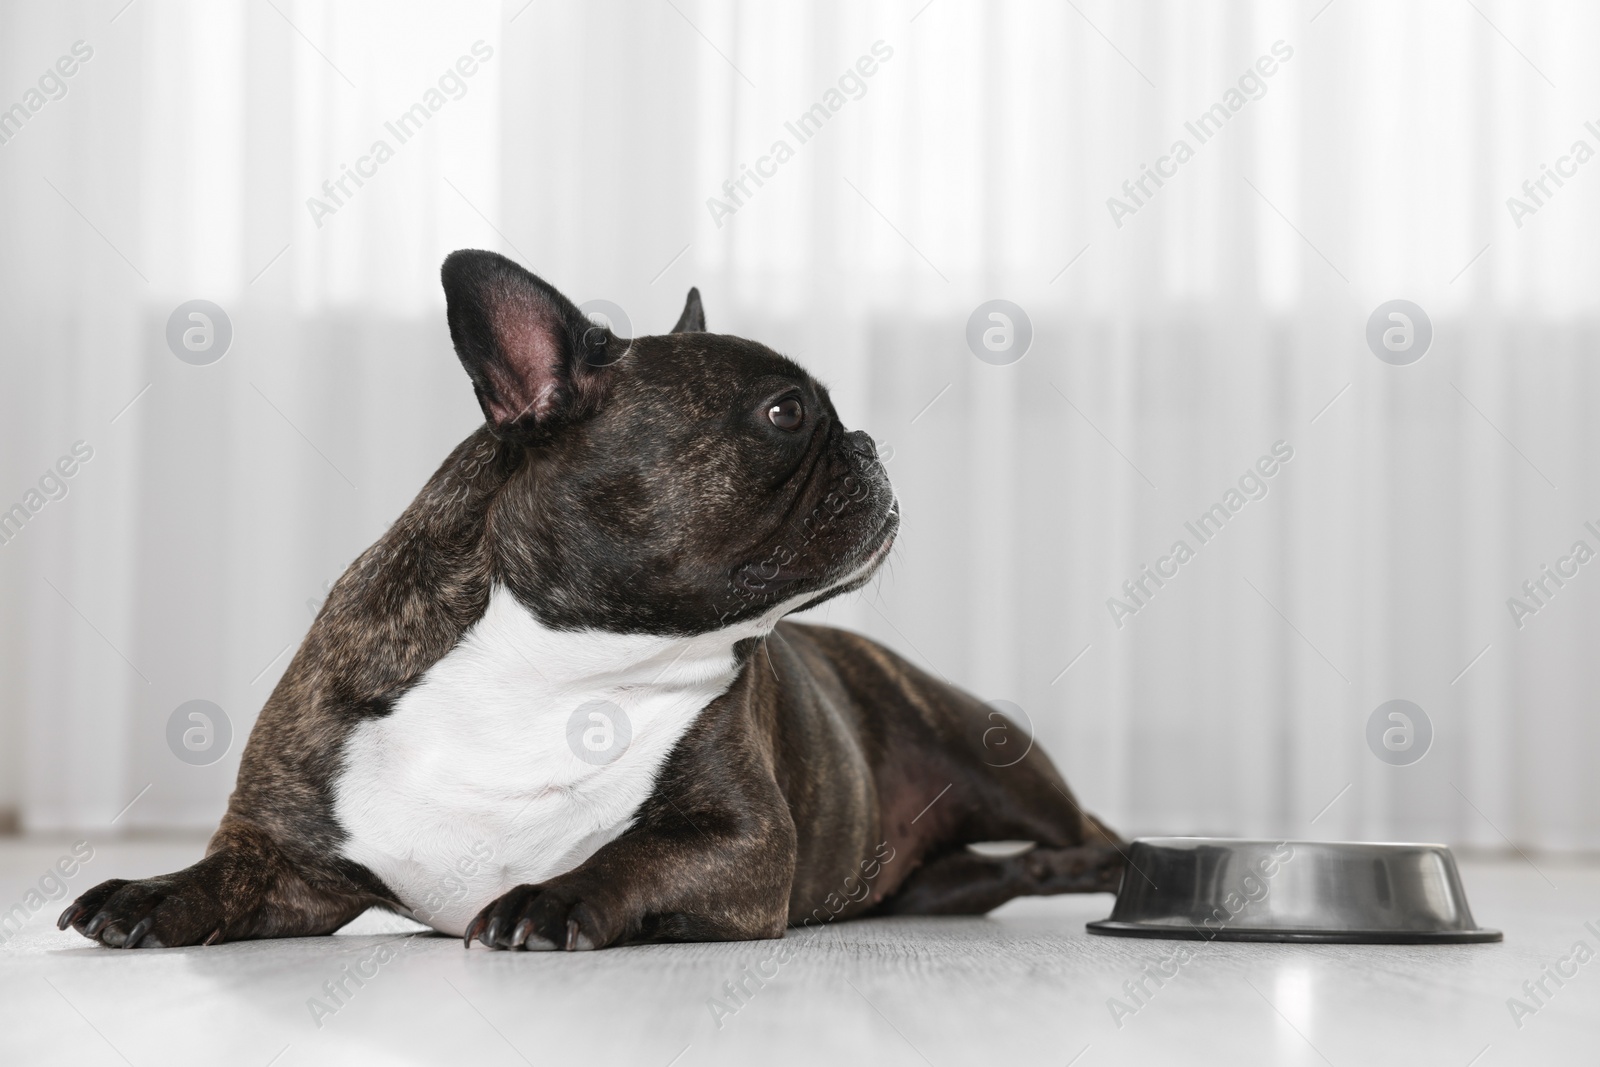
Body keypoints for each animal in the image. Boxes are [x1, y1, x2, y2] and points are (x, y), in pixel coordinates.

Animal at [56, 251, 1120, 953]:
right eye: (784, 413)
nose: (865, 442)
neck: (563, 657)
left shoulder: (740, 843)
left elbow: (627, 858)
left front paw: (551, 899)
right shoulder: (294, 859)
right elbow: (224, 869)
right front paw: (152, 890)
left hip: (1000, 758)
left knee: (1088, 830)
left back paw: (1122, 869)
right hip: (927, 877)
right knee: (992, 871)